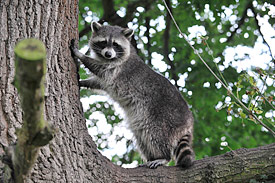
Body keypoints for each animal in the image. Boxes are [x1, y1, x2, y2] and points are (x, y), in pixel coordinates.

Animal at [71, 21, 196, 169]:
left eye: (115, 44)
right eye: (103, 42)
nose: (108, 54)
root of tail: (188, 122)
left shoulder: (117, 68)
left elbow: (99, 68)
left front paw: (80, 55)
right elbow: (99, 83)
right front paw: (83, 82)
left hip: (164, 119)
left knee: (156, 136)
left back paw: (163, 157)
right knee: (143, 137)